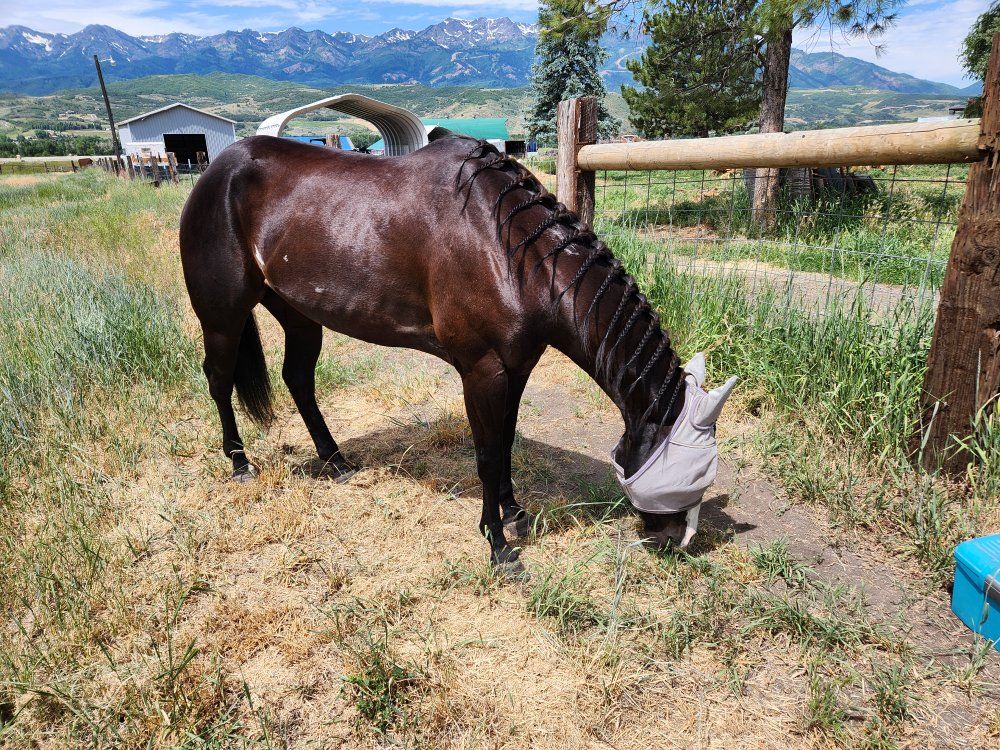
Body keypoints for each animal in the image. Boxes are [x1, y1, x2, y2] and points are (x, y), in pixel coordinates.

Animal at [179, 135, 736, 574]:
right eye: (690, 476)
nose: (679, 541)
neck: (511, 250)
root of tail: (217, 169)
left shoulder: (516, 367)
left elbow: (506, 441)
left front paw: (514, 513)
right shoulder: (481, 370)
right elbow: (487, 454)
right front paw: (497, 544)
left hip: (298, 315)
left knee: (297, 378)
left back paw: (335, 460)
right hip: (224, 316)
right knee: (219, 379)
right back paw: (240, 463)